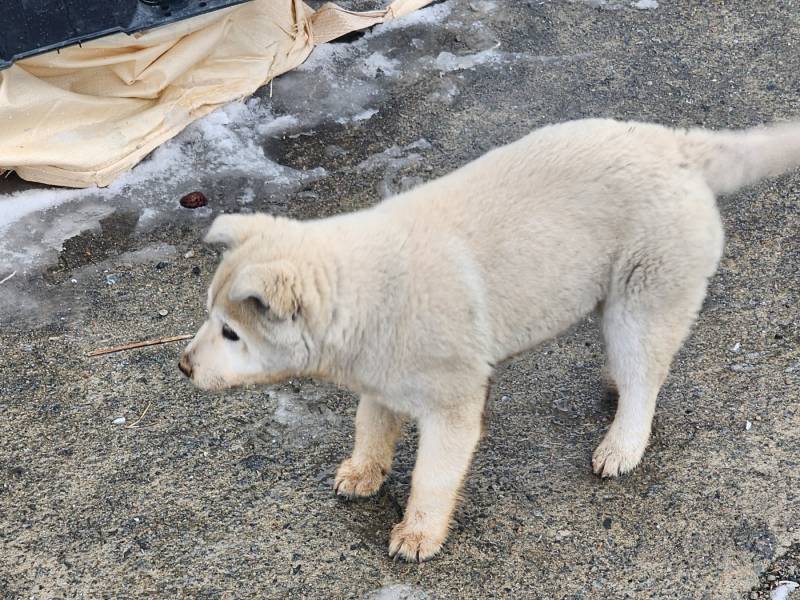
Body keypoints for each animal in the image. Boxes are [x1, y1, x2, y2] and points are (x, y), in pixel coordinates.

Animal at [181, 118, 800, 564]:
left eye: (232, 332)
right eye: (211, 317)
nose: (184, 366)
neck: (362, 292)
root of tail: (677, 146)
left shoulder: (452, 397)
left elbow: (434, 471)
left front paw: (417, 535)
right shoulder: (379, 371)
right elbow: (371, 423)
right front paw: (362, 471)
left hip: (648, 284)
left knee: (644, 370)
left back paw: (622, 443)